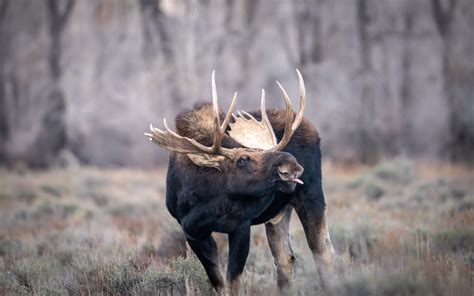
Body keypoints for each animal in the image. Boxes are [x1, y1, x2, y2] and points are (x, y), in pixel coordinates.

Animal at [146, 70, 336, 294]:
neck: (208, 202)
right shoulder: (191, 231)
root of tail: (312, 128)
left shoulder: (240, 225)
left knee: (323, 253)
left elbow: (233, 282)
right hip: (279, 212)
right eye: (242, 159)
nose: (291, 165)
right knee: (285, 259)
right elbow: (219, 283)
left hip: (311, 195)